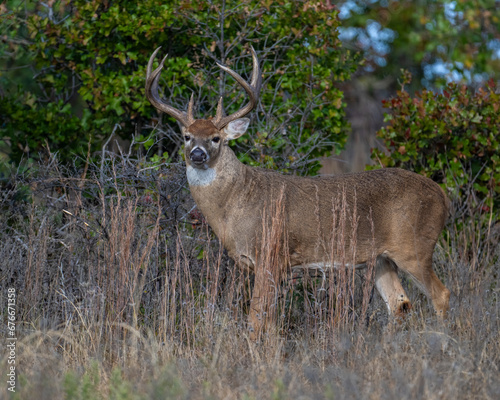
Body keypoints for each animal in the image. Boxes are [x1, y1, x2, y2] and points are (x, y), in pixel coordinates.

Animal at [145, 46, 450, 334]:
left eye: (216, 138)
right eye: (187, 136)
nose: (197, 154)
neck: (235, 203)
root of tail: (442, 195)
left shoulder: (271, 255)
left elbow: (256, 319)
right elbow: (268, 321)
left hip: (415, 248)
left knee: (441, 294)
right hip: (381, 260)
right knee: (400, 303)